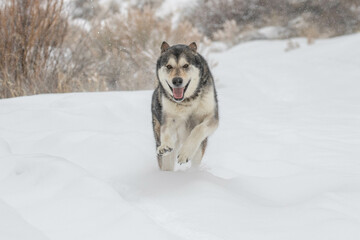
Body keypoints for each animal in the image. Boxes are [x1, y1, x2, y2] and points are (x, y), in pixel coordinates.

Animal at [150, 41, 218, 171]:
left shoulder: (212, 118)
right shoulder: (168, 118)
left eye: (185, 65)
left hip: (200, 149)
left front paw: (184, 153)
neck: (186, 101)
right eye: (169, 66)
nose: (177, 80)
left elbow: (198, 129)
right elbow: (165, 131)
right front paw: (165, 146)